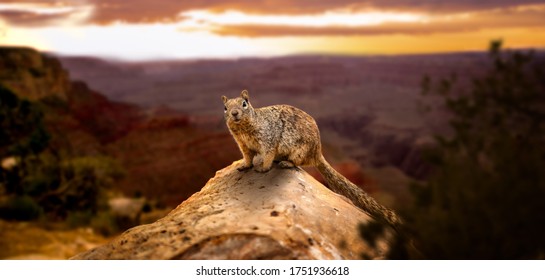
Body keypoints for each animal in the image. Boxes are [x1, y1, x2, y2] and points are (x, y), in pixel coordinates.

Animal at [219, 91, 402, 229]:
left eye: (244, 103)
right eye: (225, 107)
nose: (234, 113)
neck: (244, 128)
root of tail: (317, 152)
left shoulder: (268, 139)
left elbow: (268, 154)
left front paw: (263, 168)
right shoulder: (243, 145)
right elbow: (247, 157)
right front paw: (244, 166)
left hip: (299, 150)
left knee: (297, 162)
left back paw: (286, 163)